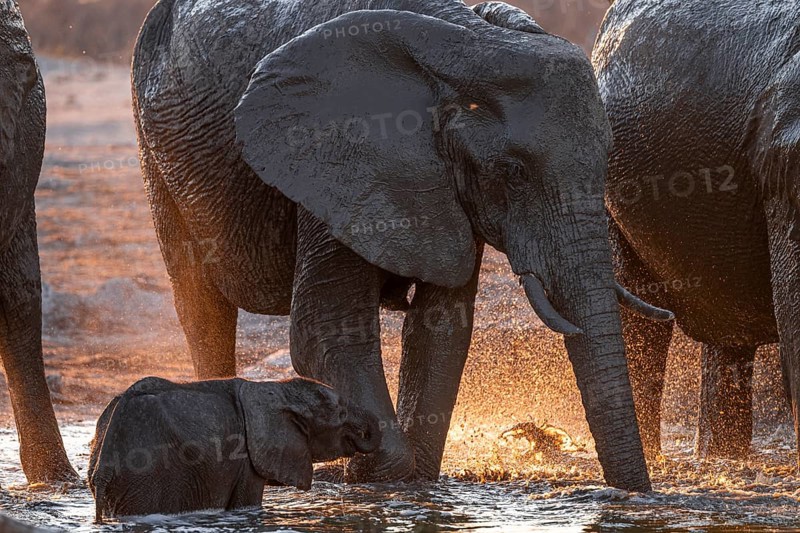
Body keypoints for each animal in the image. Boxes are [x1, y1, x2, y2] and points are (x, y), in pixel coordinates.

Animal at [88, 376, 380, 520]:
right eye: (340, 413)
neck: (278, 389)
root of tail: (104, 467)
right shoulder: (246, 458)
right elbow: (246, 503)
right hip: (146, 478)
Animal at [132, 0, 672, 491]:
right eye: (514, 172)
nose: (632, 497)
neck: (468, 45)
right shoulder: (337, 158)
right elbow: (327, 332)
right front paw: (372, 477)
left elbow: (441, 331)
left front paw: (412, 486)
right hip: (156, 152)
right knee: (201, 306)